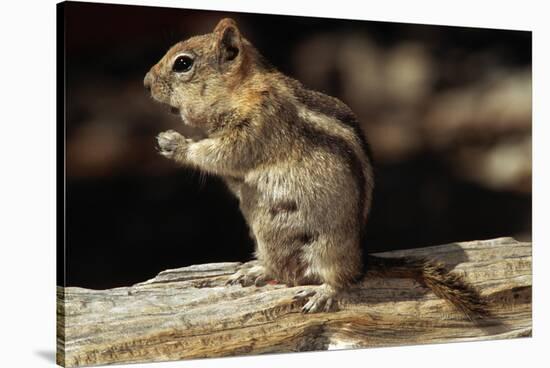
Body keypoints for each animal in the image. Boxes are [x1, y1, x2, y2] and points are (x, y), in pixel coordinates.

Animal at [144, 18, 490, 316]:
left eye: (183, 63)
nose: (146, 83)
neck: (241, 90)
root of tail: (361, 261)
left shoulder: (258, 124)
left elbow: (223, 153)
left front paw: (174, 143)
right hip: (266, 238)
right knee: (277, 267)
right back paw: (255, 271)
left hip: (329, 247)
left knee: (340, 280)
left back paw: (323, 292)